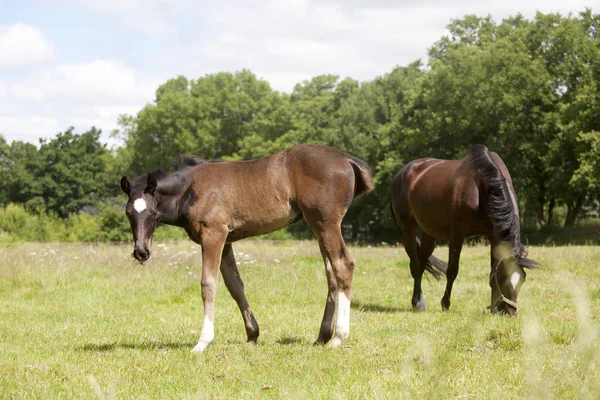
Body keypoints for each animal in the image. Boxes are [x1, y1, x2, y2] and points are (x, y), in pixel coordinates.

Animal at [119, 145, 372, 352]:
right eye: (129, 213)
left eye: (153, 213)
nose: (141, 252)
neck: (190, 189)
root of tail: (347, 159)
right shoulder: (226, 241)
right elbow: (235, 286)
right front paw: (252, 335)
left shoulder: (213, 235)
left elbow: (208, 284)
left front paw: (202, 342)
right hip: (318, 226)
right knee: (331, 274)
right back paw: (322, 337)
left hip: (325, 223)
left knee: (343, 265)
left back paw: (339, 337)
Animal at [390, 144, 540, 316]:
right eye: (503, 278)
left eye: (522, 279)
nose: (510, 312)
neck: (481, 188)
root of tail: (401, 173)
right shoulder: (457, 235)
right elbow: (452, 270)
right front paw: (445, 304)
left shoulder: (493, 237)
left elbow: (491, 271)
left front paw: (494, 308)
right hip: (407, 228)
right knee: (415, 265)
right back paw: (418, 303)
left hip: (428, 233)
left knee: (421, 263)